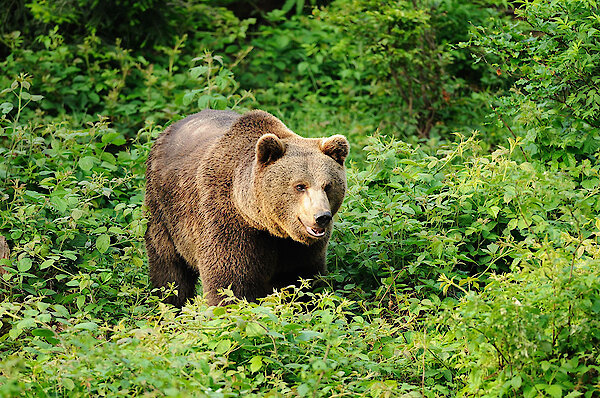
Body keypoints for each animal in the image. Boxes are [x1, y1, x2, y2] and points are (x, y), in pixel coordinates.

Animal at [145, 109, 350, 308]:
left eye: (328, 185)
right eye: (300, 186)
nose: (321, 217)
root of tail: (171, 126)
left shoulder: (298, 247)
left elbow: (301, 281)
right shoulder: (226, 221)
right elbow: (230, 283)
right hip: (164, 211)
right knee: (169, 270)